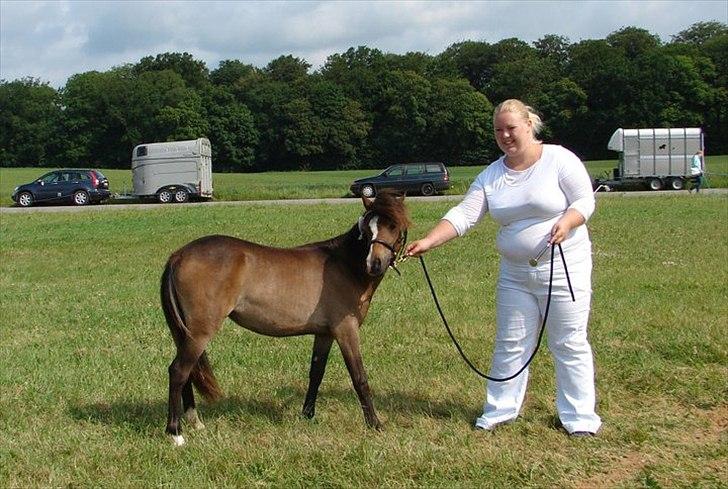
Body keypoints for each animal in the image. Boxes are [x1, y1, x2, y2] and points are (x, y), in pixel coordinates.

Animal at [161, 193, 410, 444]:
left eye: (393, 225)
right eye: (367, 229)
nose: (374, 264)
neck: (344, 265)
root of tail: (179, 254)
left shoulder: (324, 334)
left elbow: (316, 373)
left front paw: (307, 415)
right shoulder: (346, 331)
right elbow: (359, 377)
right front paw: (375, 424)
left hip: (185, 333)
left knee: (188, 372)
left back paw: (195, 422)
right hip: (201, 332)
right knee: (179, 371)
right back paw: (175, 433)